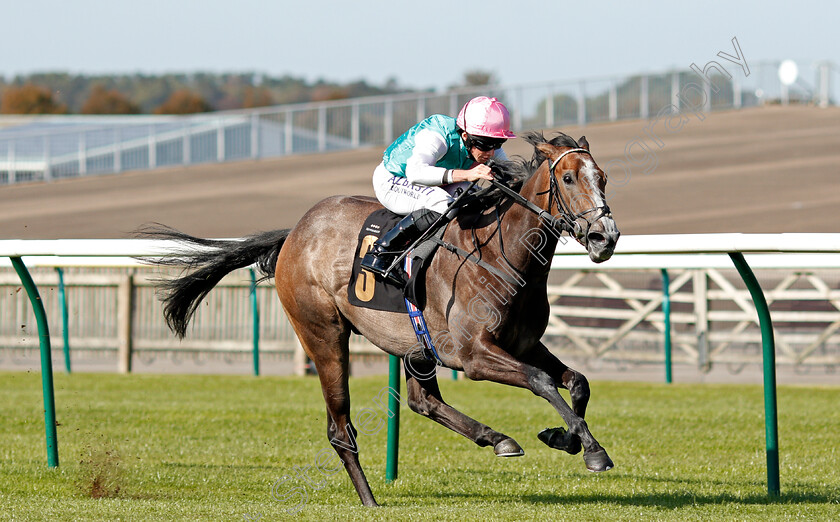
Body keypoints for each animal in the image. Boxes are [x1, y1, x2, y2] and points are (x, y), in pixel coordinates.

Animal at [143, 131, 616, 504]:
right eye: (568, 178)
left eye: (603, 178)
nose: (604, 237)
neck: (503, 254)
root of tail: (296, 232)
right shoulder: (473, 355)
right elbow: (541, 381)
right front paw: (593, 450)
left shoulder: (522, 344)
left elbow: (577, 382)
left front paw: (565, 437)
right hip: (324, 335)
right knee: (341, 427)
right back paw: (370, 499)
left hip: (415, 348)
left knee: (424, 401)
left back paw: (497, 439)